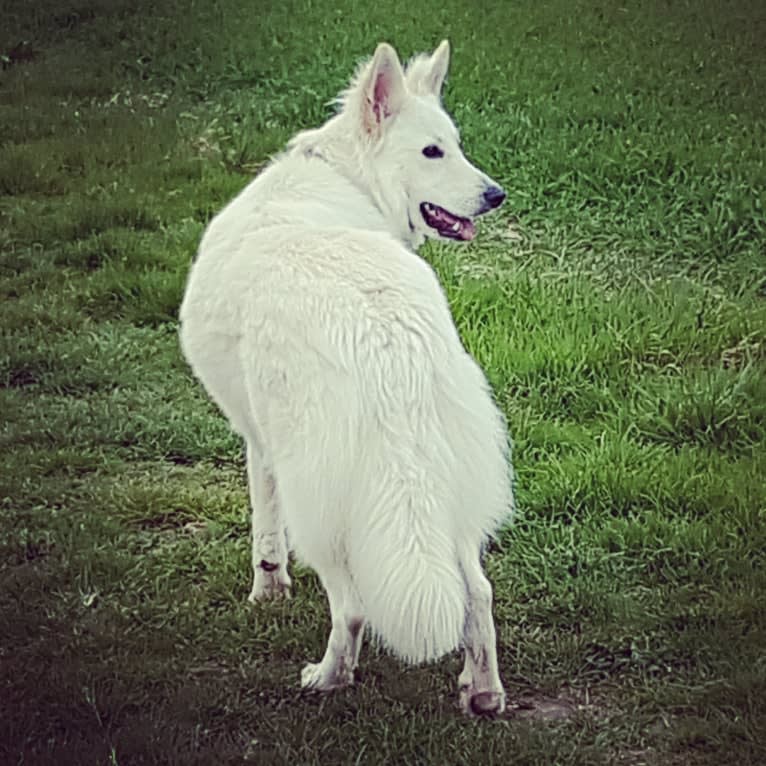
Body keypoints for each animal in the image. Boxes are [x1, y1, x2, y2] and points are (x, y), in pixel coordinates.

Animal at [180, 39, 516, 716]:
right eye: (436, 150)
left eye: (455, 145)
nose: (496, 196)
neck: (347, 175)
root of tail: (386, 341)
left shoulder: (259, 444)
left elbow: (265, 532)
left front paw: (267, 593)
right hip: (450, 492)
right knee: (479, 592)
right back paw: (483, 693)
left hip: (323, 503)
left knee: (354, 608)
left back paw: (329, 678)